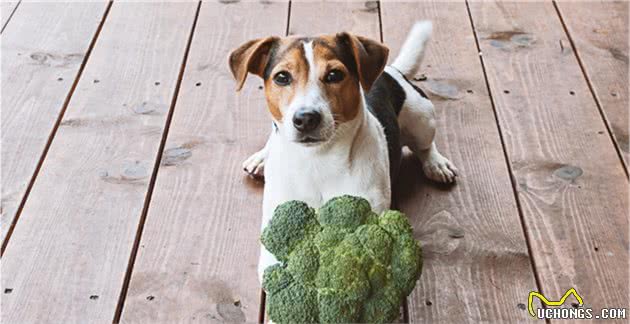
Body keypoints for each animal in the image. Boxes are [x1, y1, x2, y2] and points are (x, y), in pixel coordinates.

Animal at [230, 21, 456, 282]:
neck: (318, 159)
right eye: (282, 77)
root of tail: (392, 71)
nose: (306, 118)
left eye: (334, 75)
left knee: (425, 145)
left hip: (422, 118)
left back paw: (436, 164)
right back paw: (261, 158)